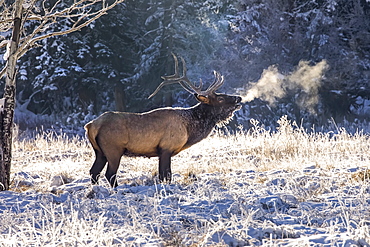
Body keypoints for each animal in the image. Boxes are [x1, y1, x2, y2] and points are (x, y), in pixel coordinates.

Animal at [84, 53, 243, 185]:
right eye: (220, 98)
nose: (239, 98)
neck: (189, 129)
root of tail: (90, 126)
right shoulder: (166, 148)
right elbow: (165, 176)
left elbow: (165, 176)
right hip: (113, 149)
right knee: (110, 174)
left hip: (99, 151)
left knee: (94, 172)